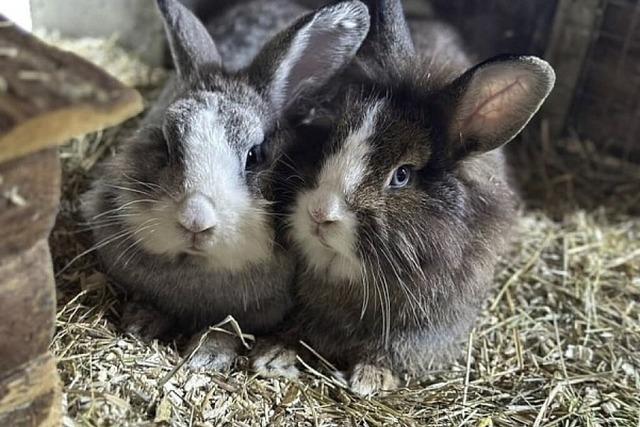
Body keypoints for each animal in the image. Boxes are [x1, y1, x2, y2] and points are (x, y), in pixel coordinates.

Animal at [81, 0, 370, 372]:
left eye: (255, 155)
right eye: (165, 142)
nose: (195, 220)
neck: (199, 268)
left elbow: (228, 327)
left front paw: (208, 354)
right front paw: (140, 322)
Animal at [251, 0, 556, 394]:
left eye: (402, 175)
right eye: (329, 142)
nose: (320, 213)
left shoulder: (426, 328)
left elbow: (392, 351)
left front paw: (370, 379)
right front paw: (272, 355)